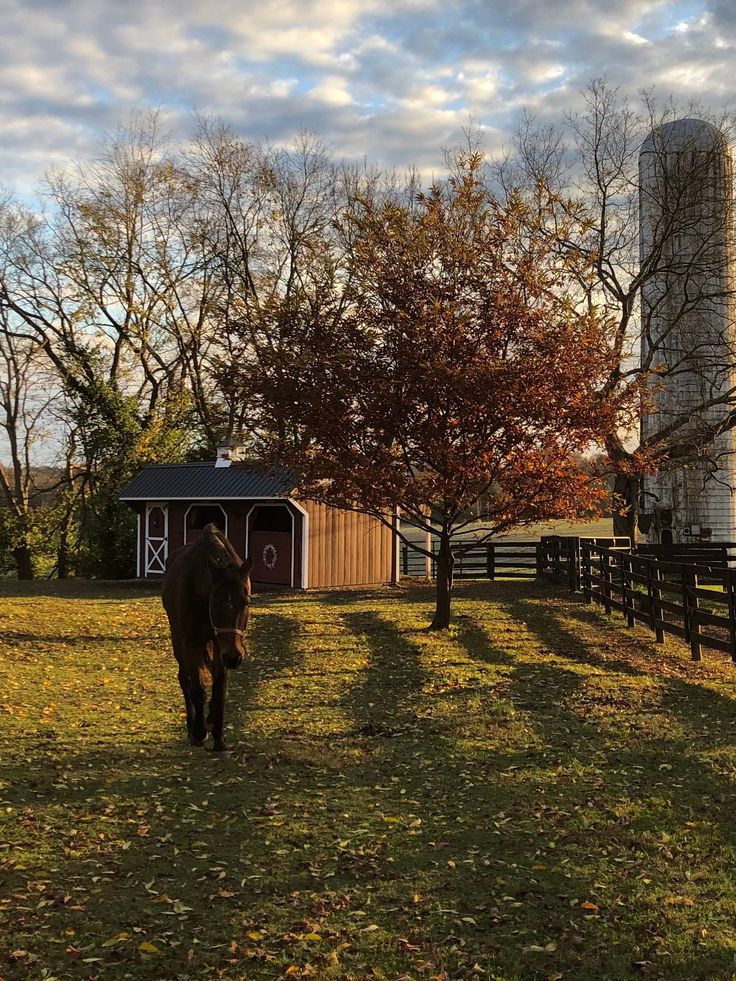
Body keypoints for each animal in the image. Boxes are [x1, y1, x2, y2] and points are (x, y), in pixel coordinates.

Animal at [161, 524, 253, 756]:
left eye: (246, 602)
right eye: (215, 602)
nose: (234, 658)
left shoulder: (221, 643)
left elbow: (219, 688)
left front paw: (219, 738)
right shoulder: (191, 641)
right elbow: (198, 687)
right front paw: (199, 732)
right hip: (179, 641)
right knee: (184, 679)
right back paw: (192, 727)